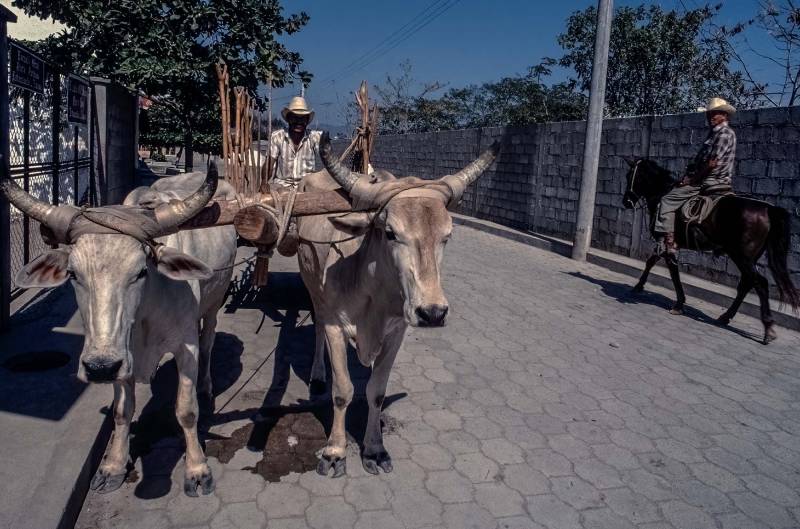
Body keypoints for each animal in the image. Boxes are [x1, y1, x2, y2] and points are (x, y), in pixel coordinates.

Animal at [620, 159, 796, 344]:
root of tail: (768, 209)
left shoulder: (666, 242)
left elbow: (669, 270)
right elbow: (653, 262)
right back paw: (726, 317)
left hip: (742, 257)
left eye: (632, 175)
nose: (626, 202)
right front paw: (641, 286)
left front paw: (677, 302)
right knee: (747, 283)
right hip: (747, 258)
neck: (662, 193)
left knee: (760, 283)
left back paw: (768, 328)